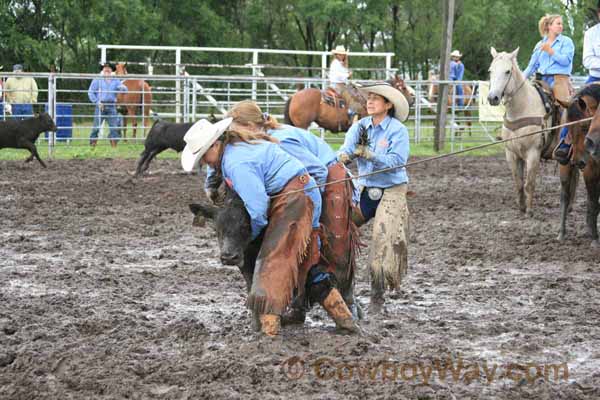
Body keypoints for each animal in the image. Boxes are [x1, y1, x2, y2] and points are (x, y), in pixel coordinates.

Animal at [488, 48, 556, 217]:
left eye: (507, 71)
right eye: (490, 70)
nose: (493, 98)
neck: (522, 109)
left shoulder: (533, 153)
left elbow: (529, 183)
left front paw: (529, 211)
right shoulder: (512, 154)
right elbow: (518, 183)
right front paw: (521, 208)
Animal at [556, 84, 600, 247]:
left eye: (584, 126)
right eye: (569, 129)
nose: (578, 161)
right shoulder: (590, 171)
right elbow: (593, 203)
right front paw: (594, 238)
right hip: (565, 168)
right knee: (565, 196)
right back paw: (561, 233)